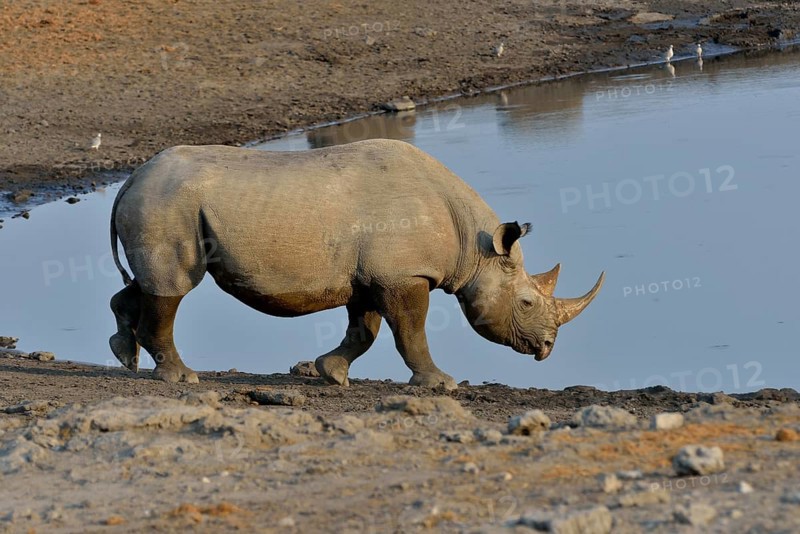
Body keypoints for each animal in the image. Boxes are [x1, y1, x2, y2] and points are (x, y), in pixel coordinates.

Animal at [109, 139, 604, 389]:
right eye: (525, 303)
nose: (547, 348)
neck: (474, 245)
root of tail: (131, 178)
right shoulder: (402, 274)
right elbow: (410, 331)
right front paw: (440, 383)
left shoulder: (370, 276)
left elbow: (364, 330)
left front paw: (331, 373)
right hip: (167, 204)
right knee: (173, 286)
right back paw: (181, 377)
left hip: (161, 203)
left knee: (145, 284)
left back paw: (125, 355)